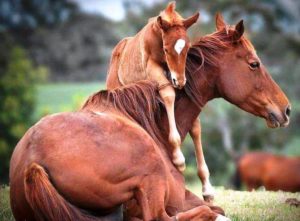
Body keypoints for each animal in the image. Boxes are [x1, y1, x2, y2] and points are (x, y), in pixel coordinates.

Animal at [105, 1, 199, 171]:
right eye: (166, 49)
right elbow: (168, 94)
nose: (180, 81)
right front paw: (178, 158)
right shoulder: (152, 68)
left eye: (187, 48)